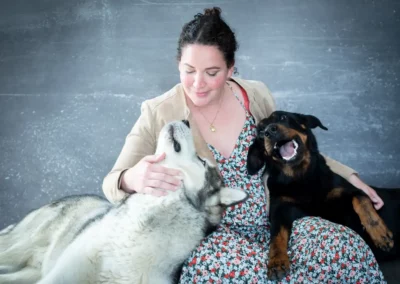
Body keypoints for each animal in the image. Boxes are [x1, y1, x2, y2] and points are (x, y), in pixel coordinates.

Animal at [247, 110, 400, 280]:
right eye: (260, 131)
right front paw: (276, 261)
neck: (300, 177)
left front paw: (380, 234)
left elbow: (361, 199)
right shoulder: (279, 210)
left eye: (282, 117)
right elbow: (276, 237)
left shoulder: (347, 191)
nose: (269, 131)